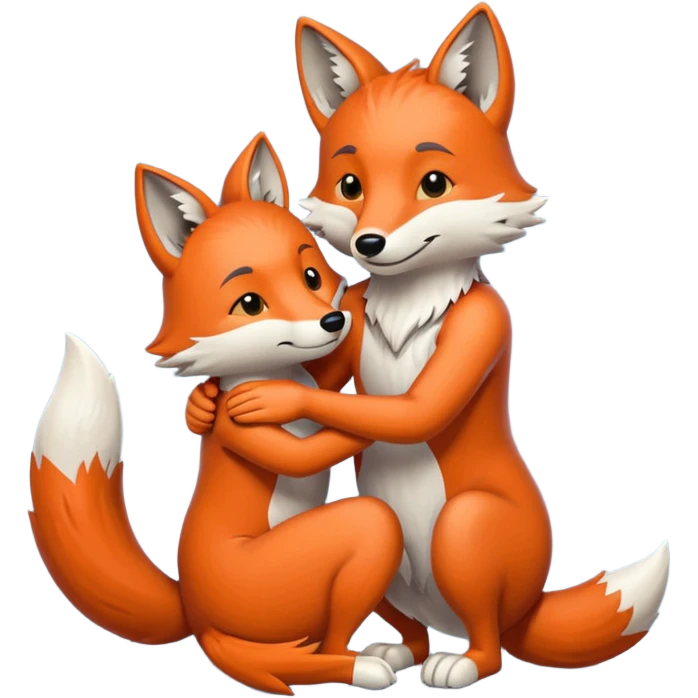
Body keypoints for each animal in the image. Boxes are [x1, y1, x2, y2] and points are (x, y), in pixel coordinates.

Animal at [27, 133, 413, 695]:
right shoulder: (239, 425)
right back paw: (356, 665)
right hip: (279, 579)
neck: (273, 374)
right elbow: (300, 454)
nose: (333, 321)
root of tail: (190, 604)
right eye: (250, 303)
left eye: (311, 275)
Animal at [184, 4, 673, 690]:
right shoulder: (352, 313)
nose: (368, 243)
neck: (409, 307)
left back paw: (459, 663)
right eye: (351, 184)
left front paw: (273, 402)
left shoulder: (484, 323)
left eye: (434, 183)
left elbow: (418, 409)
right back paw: (392, 653)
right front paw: (205, 406)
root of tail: (524, 609)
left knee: (488, 635)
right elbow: (334, 379)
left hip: (466, 531)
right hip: (391, 559)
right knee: (410, 622)